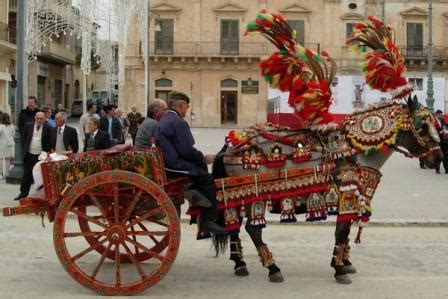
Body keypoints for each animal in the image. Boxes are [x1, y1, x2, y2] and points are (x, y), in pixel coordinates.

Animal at [207, 96, 444, 286]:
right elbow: (342, 232)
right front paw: (339, 269)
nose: (437, 159)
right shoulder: (347, 196)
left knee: (234, 227)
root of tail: (232, 145)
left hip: (239, 194)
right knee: (252, 230)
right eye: (423, 126)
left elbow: (346, 234)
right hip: (253, 194)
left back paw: (240, 264)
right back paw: (273, 268)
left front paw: (345, 262)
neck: (355, 150)